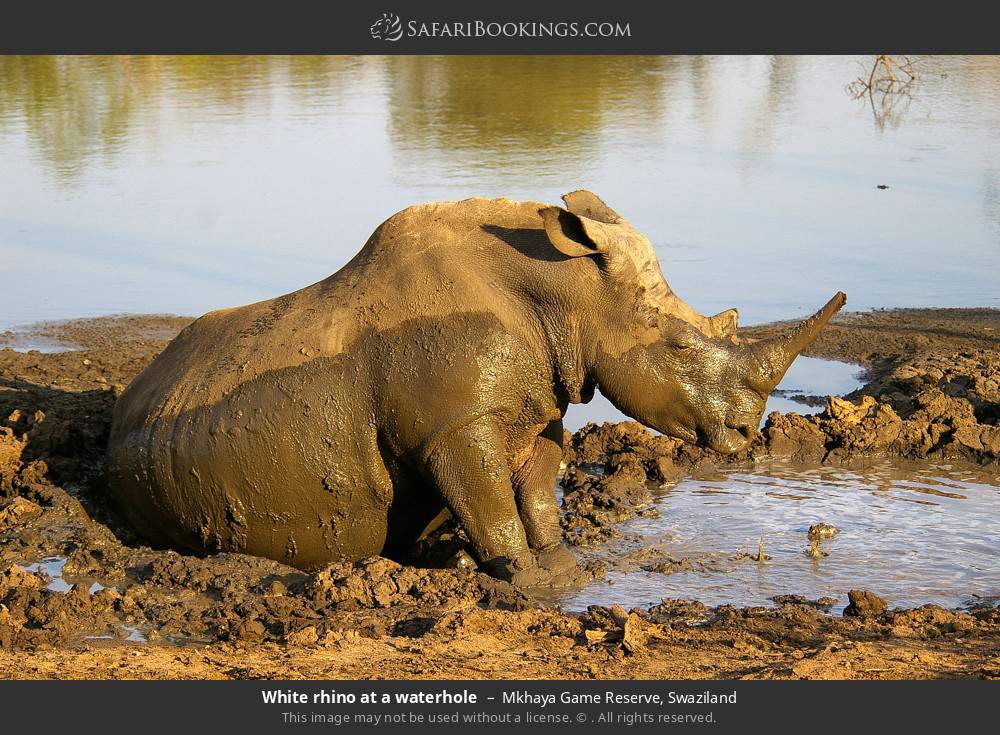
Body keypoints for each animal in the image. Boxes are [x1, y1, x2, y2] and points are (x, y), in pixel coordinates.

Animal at [107, 191, 845, 585]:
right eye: (682, 347)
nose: (746, 433)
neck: (568, 295)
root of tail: (131, 400)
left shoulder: (540, 405)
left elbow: (537, 488)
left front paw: (560, 563)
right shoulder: (453, 426)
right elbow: (488, 497)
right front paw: (521, 578)